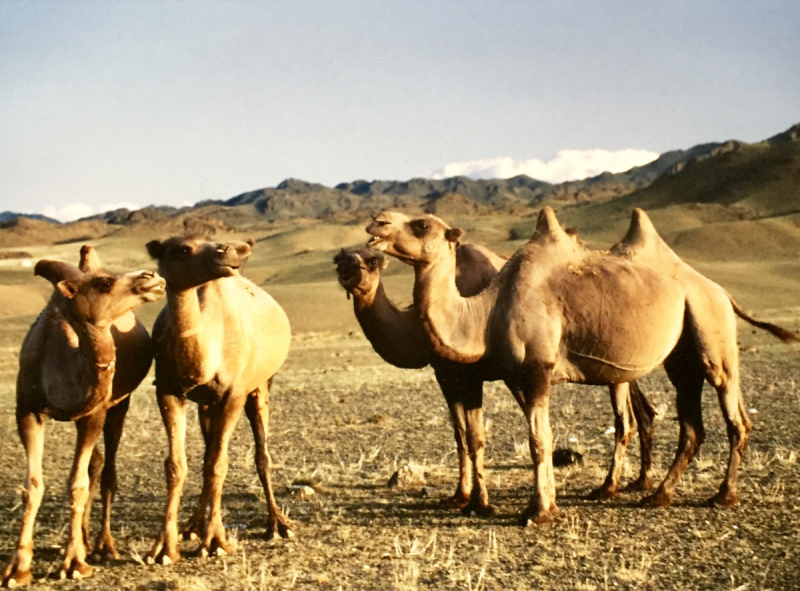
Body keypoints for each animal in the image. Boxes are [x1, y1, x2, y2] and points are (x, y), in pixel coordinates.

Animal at [2, 246, 166, 588]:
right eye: (105, 283)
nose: (152, 276)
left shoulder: (94, 412)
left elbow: (76, 483)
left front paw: (74, 563)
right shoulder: (27, 411)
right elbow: (32, 486)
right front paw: (17, 569)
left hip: (120, 404)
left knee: (107, 471)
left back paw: (103, 547)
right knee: (98, 463)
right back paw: (87, 539)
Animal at [145, 235, 292, 564]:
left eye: (211, 241)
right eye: (182, 249)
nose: (227, 251)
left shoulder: (233, 394)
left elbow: (219, 463)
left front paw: (215, 541)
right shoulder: (169, 391)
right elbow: (176, 465)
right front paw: (164, 548)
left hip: (260, 386)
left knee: (261, 454)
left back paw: (277, 524)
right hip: (205, 404)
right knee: (206, 452)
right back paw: (192, 526)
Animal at [366, 208, 796, 528]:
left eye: (421, 224)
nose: (376, 224)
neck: (485, 310)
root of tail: (722, 290)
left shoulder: (537, 368)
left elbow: (539, 441)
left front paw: (540, 512)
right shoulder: (515, 376)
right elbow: (527, 437)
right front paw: (535, 504)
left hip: (712, 328)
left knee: (734, 412)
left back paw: (724, 496)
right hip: (681, 355)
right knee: (691, 424)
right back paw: (659, 495)